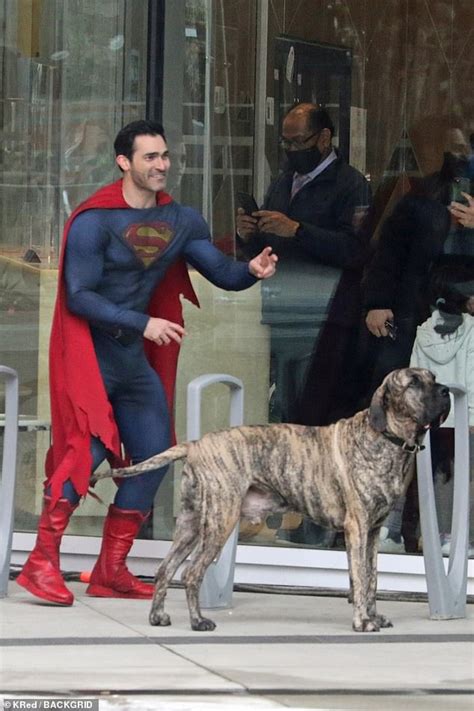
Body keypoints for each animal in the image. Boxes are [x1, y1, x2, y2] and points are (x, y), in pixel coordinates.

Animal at [93, 370, 452, 632]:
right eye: (413, 382)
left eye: (432, 376)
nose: (446, 390)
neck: (386, 437)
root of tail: (196, 444)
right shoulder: (358, 529)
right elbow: (360, 579)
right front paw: (362, 621)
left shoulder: (374, 532)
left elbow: (374, 578)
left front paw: (373, 616)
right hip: (220, 522)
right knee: (191, 573)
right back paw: (198, 622)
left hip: (192, 524)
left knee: (165, 569)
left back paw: (158, 617)